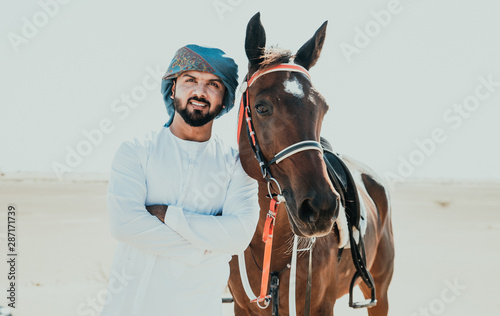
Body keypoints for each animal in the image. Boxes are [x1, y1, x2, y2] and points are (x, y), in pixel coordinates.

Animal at [227, 12, 394, 316]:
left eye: (323, 108)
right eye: (261, 107)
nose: (321, 208)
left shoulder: (320, 305)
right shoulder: (242, 307)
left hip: (381, 291)